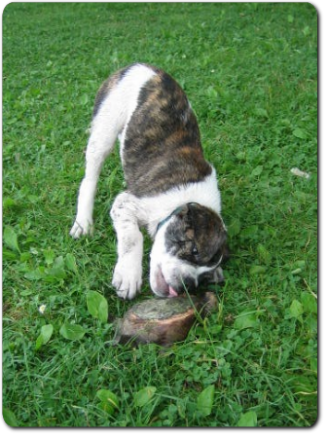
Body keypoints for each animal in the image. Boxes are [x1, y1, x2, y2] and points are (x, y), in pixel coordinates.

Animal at [70, 64, 228, 300]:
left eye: (204, 277)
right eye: (194, 251)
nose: (187, 285)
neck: (179, 205)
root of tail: (139, 65)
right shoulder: (126, 203)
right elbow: (133, 237)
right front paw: (128, 275)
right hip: (105, 127)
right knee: (90, 178)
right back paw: (83, 222)